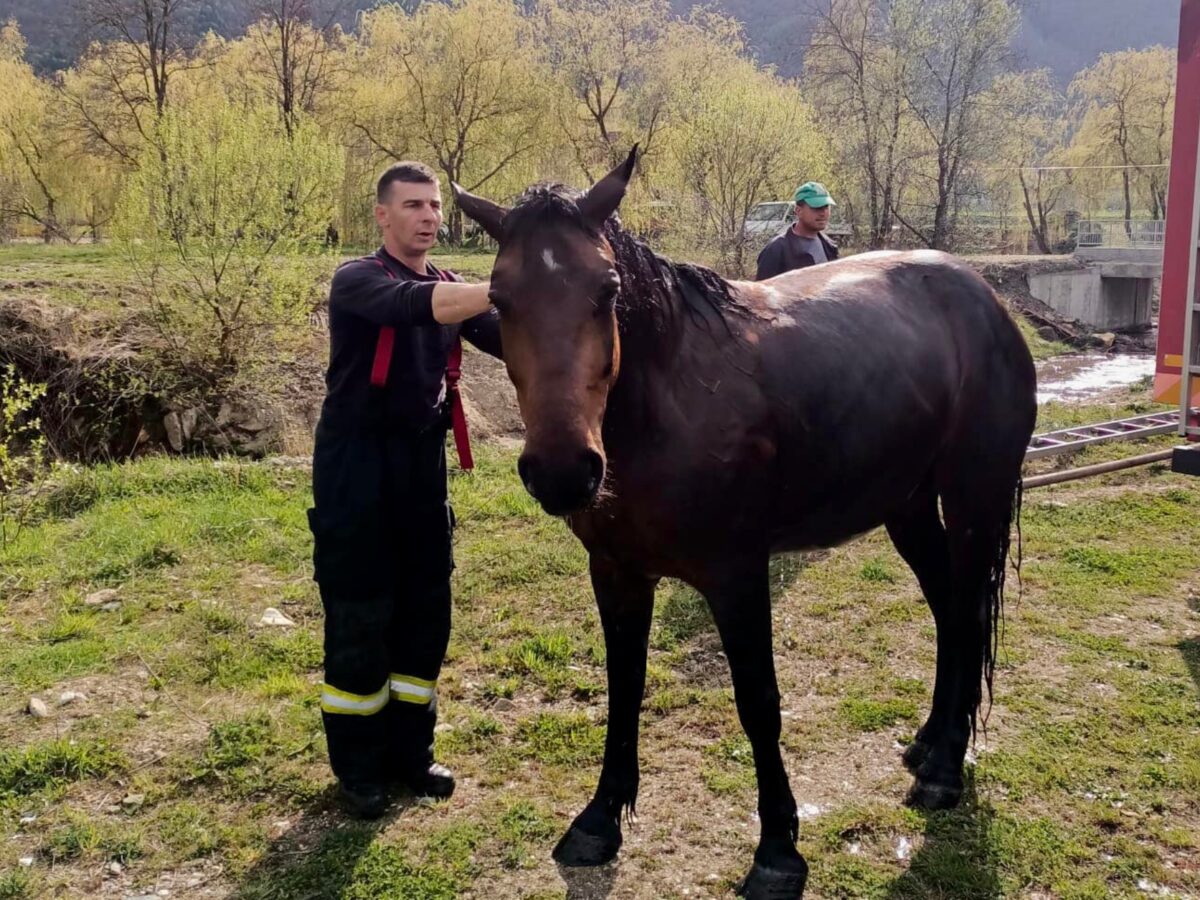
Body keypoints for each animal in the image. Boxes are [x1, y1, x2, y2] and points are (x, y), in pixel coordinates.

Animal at [453, 151, 1036, 897]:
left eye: (607, 290)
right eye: (499, 299)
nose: (562, 471)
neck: (668, 406)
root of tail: (984, 297)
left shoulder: (736, 576)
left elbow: (759, 701)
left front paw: (778, 850)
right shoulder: (616, 572)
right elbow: (623, 685)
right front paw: (600, 818)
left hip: (972, 503)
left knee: (968, 611)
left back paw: (944, 770)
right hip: (907, 508)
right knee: (949, 613)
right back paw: (931, 744)